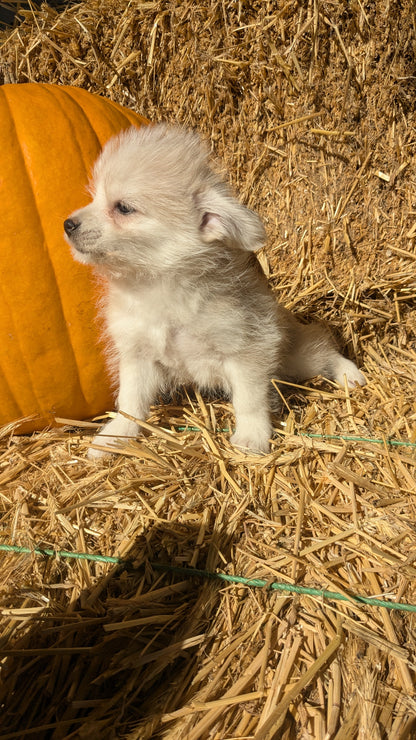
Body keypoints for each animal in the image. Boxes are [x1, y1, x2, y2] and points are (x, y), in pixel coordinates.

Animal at [63, 123, 366, 456]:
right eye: (94, 197)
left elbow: (249, 400)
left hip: (297, 356)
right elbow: (131, 402)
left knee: (324, 348)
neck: (158, 286)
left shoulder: (248, 348)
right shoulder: (137, 354)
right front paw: (116, 436)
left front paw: (251, 436)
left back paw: (351, 374)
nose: (67, 224)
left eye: (124, 208)